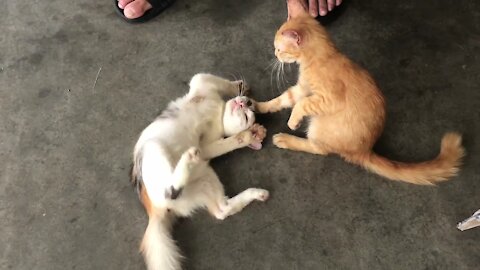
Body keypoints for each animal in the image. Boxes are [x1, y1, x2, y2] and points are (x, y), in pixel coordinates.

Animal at [131, 73, 270, 268]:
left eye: (246, 116)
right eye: (248, 108)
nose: (245, 103)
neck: (218, 112)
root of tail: (153, 207)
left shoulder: (206, 148)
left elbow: (229, 141)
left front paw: (249, 135)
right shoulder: (201, 85)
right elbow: (209, 78)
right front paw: (239, 86)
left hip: (198, 174)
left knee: (216, 208)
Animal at [255, 0, 464, 185]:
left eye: (279, 49)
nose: (275, 55)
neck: (322, 58)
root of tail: (365, 150)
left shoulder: (329, 99)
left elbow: (301, 104)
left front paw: (293, 121)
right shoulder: (302, 89)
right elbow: (282, 99)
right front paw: (258, 105)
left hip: (319, 126)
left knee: (319, 149)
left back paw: (286, 139)